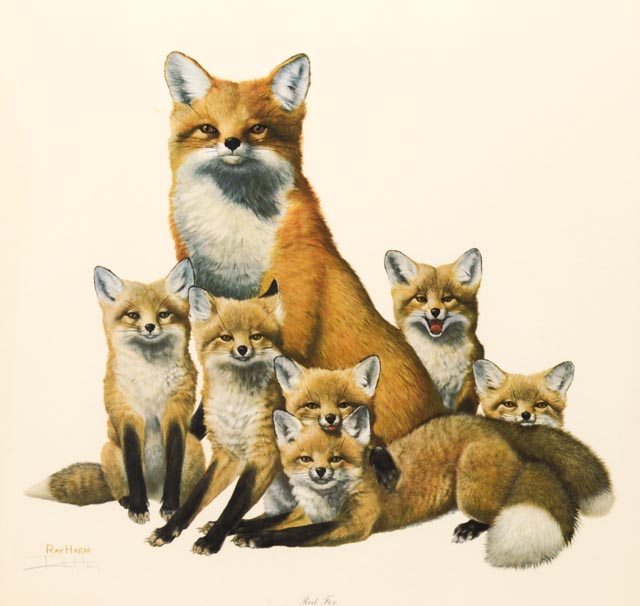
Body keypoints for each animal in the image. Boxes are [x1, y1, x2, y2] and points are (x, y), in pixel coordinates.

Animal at [25, 260, 205, 522]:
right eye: (133, 315)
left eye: (163, 314)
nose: (150, 327)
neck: (149, 380)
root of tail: (154, 491)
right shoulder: (127, 415)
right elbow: (134, 468)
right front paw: (138, 507)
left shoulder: (176, 413)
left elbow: (173, 467)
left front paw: (171, 506)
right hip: (109, 450)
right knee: (120, 489)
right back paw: (129, 500)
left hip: (193, 447)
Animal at [147, 282, 287, 554]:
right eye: (226, 337)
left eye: (256, 336)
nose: (242, 349)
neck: (235, 408)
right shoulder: (228, 454)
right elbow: (196, 497)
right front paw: (169, 530)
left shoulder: (264, 455)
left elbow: (234, 506)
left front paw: (212, 540)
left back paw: (252, 534)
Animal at [230, 358, 613, 569]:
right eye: (305, 459)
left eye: (337, 459)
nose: (319, 472)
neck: (327, 500)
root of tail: (491, 426)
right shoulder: (307, 512)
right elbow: (277, 519)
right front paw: (237, 528)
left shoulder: (352, 525)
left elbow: (293, 535)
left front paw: (258, 539)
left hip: (469, 489)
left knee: (496, 512)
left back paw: (470, 528)